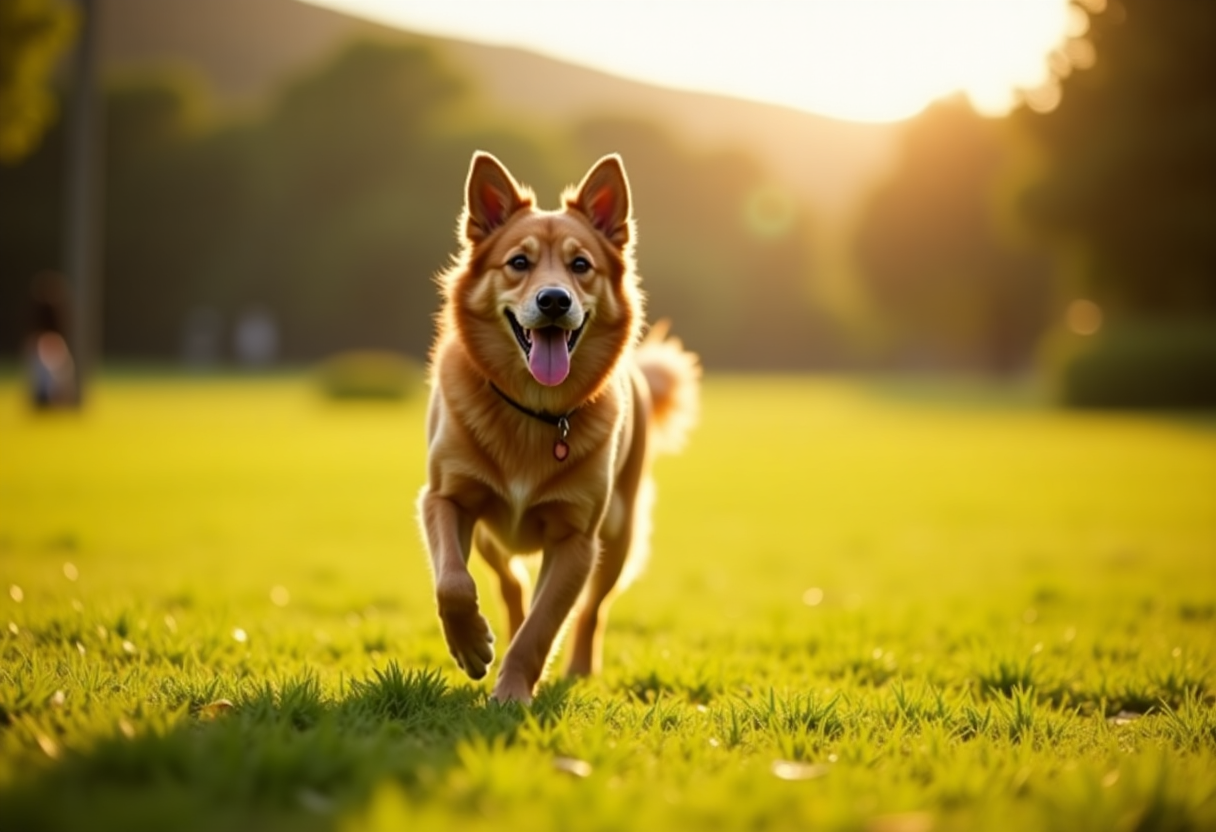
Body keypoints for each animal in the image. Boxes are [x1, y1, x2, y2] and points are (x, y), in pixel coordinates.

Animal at [420, 150, 700, 700]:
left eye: (581, 265)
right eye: (518, 263)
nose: (554, 300)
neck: (534, 412)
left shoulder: (576, 540)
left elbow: (543, 627)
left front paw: (511, 694)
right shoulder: (444, 498)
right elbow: (453, 583)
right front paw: (471, 645)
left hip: (618, 535)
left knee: (592, 608)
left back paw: (580, 666)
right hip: (491, 534)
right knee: (511, 584)